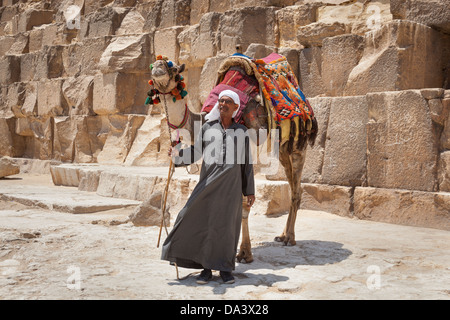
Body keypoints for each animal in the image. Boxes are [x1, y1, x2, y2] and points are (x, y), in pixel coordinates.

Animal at [147, 53, 316, 262]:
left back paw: (290, 238)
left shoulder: (249, 148)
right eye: (154, 65)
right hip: (283, 148)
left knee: (296, 190)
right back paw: (283, 235)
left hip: (299, 143)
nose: (158, 68)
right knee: (293, 185)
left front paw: (244, 253)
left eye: (172, 68)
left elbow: (244, 203)